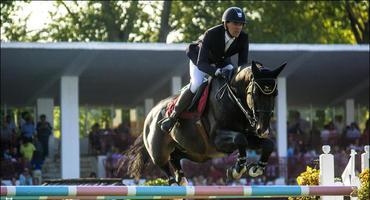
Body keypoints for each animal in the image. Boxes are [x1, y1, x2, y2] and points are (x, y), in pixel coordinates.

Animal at [120, 60, 286, 185]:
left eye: (275, 94)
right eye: (255, 93)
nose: (263, 129)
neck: (233, 100)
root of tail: (150, 114)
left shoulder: (248, 135)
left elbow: (267, 144)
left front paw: (256, 168)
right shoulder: (218, 139)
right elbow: (240, 139)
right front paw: (236, 170)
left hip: (194, 152)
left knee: (175, 157)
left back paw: (182, 179)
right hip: (159, 149)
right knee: (163, 162)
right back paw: (174, 182)